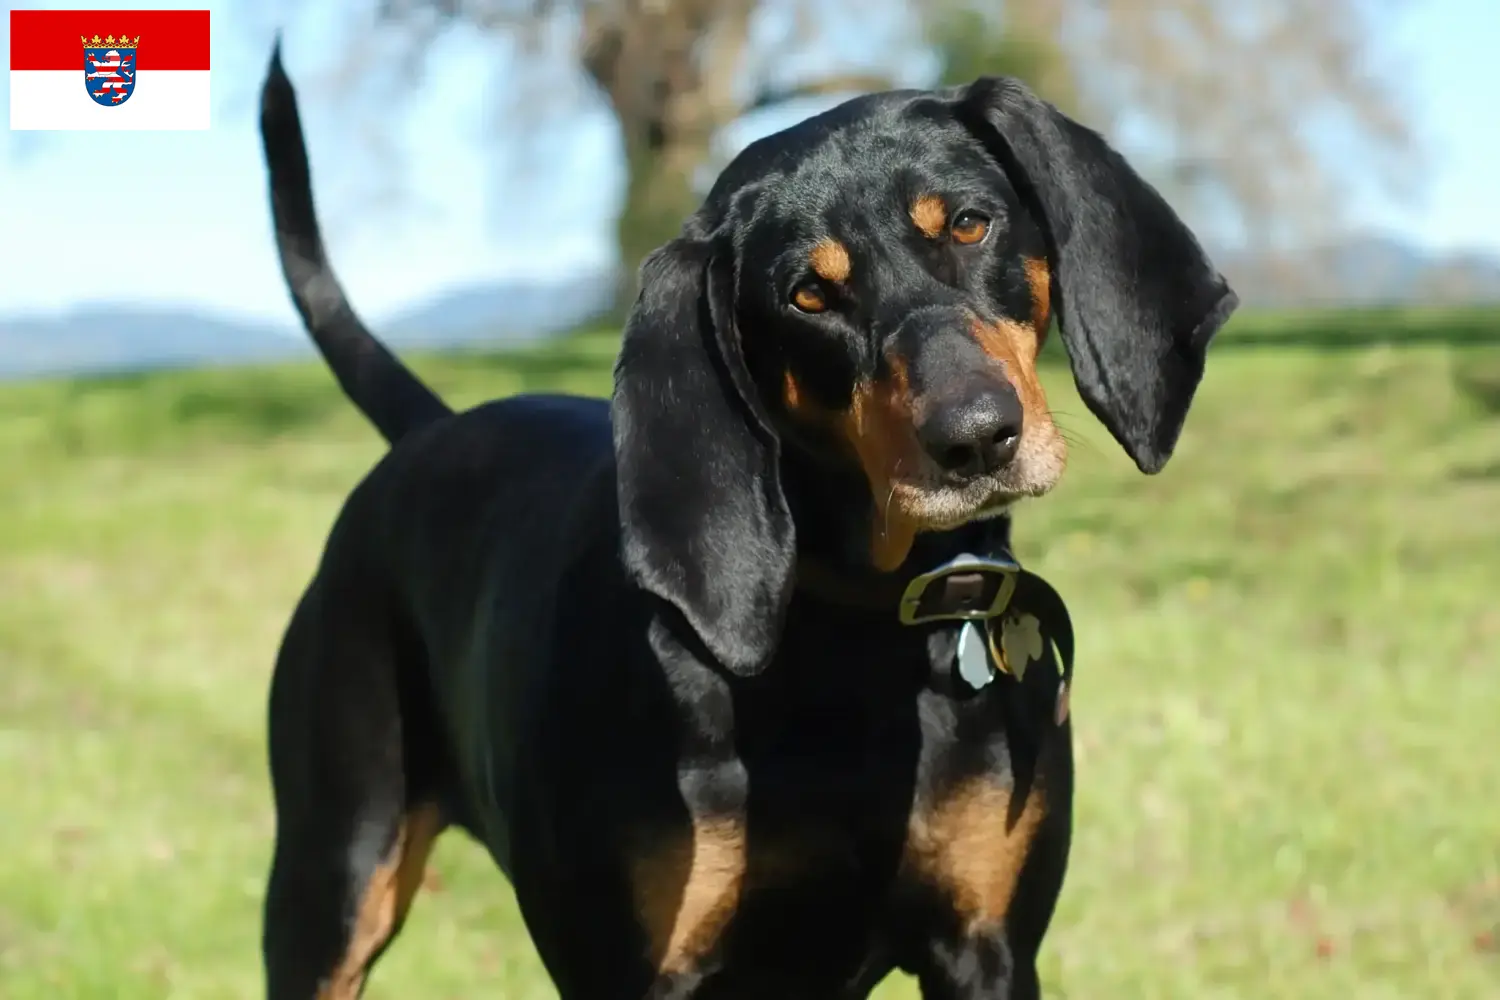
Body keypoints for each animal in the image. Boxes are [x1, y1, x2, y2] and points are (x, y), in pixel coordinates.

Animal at [258, 35, 1236, 995]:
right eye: (807, 295)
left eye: (967, 223)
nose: (977, 437)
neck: (850, 635)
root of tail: (432, 430)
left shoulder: (986, 949)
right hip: (330, 884)